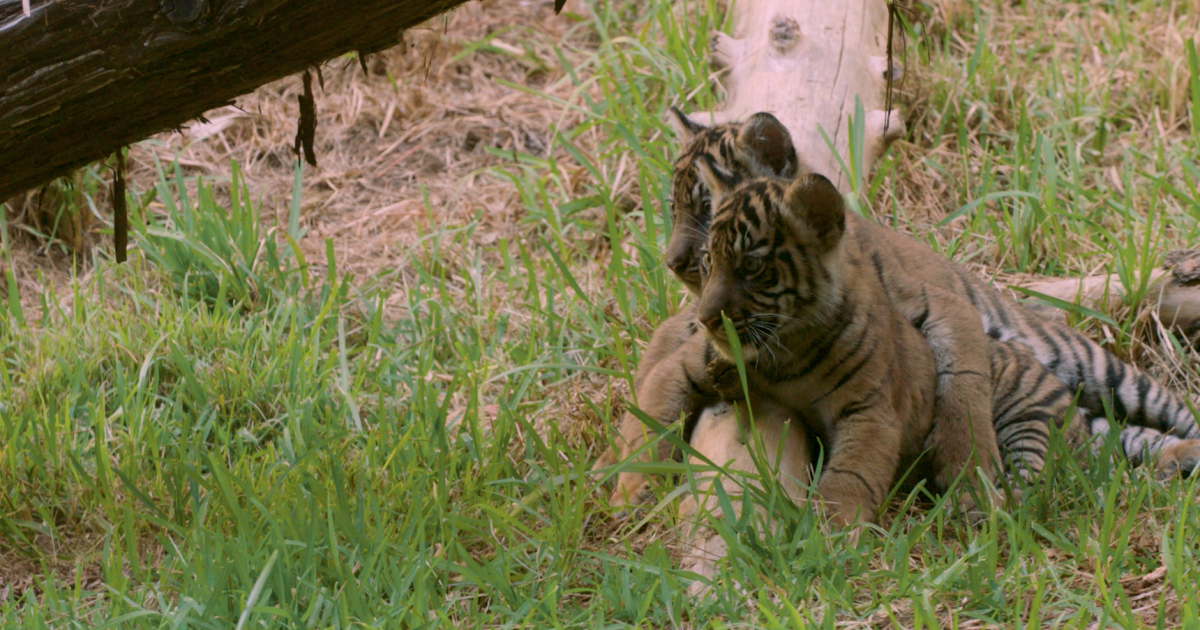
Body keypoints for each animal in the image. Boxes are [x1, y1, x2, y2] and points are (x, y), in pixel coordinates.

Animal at [663, 107, 1200, 480]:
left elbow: (960, 381)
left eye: (704, 207)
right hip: (1088, 411)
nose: (672, 263)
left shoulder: (943, 308)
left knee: (1175, 411)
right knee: (1125, 438)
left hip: (1103, 369)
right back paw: (1173, 462)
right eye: (673, 208)